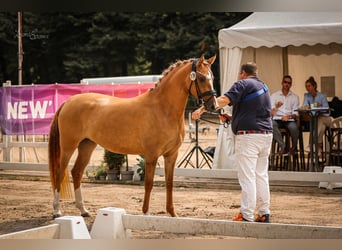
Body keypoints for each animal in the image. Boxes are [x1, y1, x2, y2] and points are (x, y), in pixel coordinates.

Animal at [48, 54, 216, 217]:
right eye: (201, 78)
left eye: (212, 77)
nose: (213, 105)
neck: (163, 109)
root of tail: (68, 102)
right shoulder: (152, 155)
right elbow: (149, 183)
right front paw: (146, 212)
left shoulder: (171, 155)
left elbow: (169, 183)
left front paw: (172, 214)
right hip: (68, 146)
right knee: (60, 172)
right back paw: (56, 211)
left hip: (87, 145)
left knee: (77, 172)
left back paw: (83, 210)